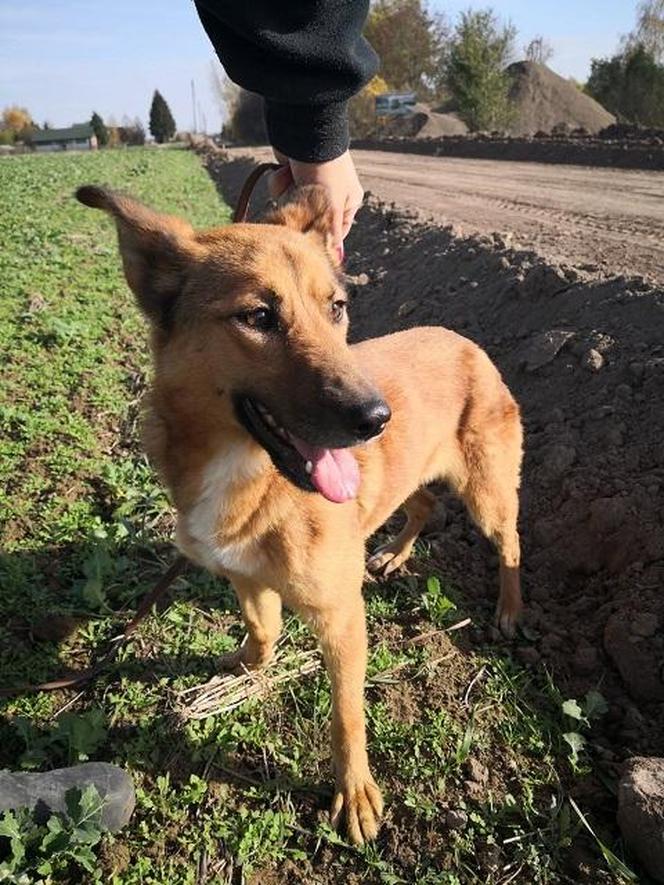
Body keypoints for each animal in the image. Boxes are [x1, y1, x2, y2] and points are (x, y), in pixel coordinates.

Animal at [76, 185, 524, 844]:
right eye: (259, 317)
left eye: (336, 308)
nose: (376, 419)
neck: (250, 472)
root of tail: (461, 337)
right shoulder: (243, 575)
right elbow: (262, 628)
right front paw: (246, 665)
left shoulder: (342, 618)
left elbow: (346, 715)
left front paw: (355, 794)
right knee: (423, 502)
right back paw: (391, 554)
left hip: (488, 492)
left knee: (510, 542)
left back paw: (509, 609)